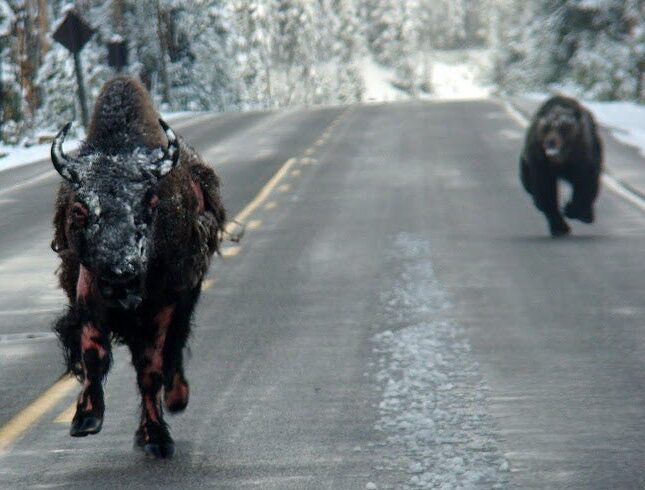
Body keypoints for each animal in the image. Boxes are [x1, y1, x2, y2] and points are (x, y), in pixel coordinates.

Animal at [519, 95, 603, 237]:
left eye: (564, 127)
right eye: (546, 127)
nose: (551, 142)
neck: (561, 160)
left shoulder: (583, 158)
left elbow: (586, 185)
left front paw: (573, 210)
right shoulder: (540, 161)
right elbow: (545, 191)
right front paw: (559, 227)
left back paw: (586, 215)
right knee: (530, 186)